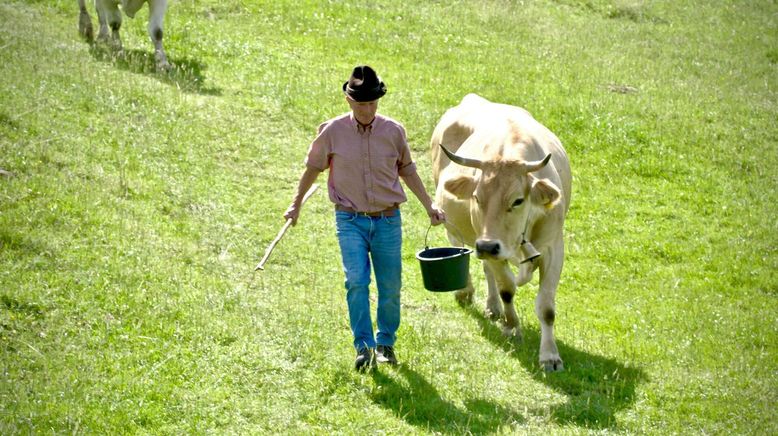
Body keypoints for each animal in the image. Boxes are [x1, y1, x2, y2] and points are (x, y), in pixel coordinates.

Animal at [430, 93, 568, 370]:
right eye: (476, 197)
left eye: (517, 200)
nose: (487, 245)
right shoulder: (489, 246)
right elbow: (507, 288)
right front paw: (511, 327)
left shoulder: (554, 248)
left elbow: (546, 307)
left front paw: (550, 356)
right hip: (455, 225)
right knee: (461, 250)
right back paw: (467, 292)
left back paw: (492, 306)